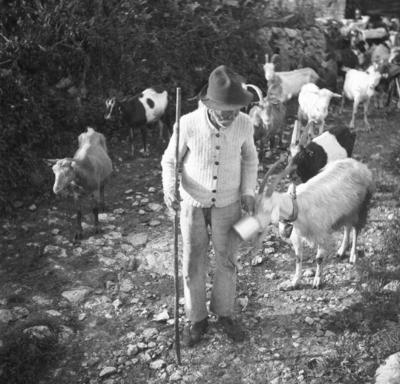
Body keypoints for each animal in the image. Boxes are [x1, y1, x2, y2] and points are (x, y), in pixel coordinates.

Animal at [253, 158, 376, 288]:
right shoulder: (296, 235)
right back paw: (341, 251)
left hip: (361, 206)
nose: (283, 233)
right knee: (347, 227)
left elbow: (319, 258)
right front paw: (294, 282)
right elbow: (298, 258)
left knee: (356, 229)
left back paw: (353, 256)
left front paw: (317, 281)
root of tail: (360, 165)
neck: (298, 206)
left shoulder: (321, 234)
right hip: (346, 211)